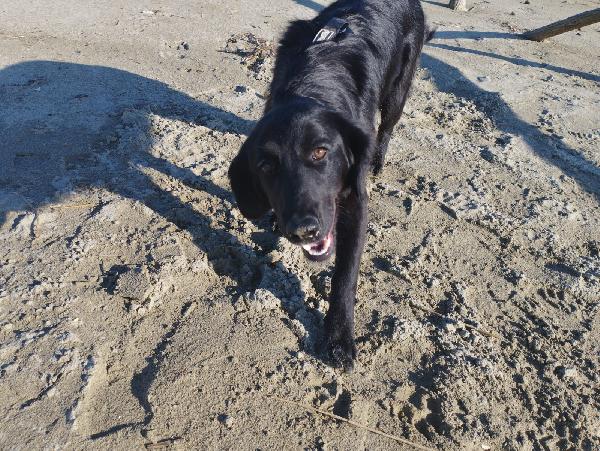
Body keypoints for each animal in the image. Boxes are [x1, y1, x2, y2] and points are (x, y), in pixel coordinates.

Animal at [229, 0, 432, 370]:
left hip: (399, 90)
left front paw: (338, 338)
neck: (313, 83)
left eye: (320, 152)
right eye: (266, 166)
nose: (303, 230)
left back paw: (379, 159)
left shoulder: (355, 201)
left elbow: (345, 275)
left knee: (387, 127)